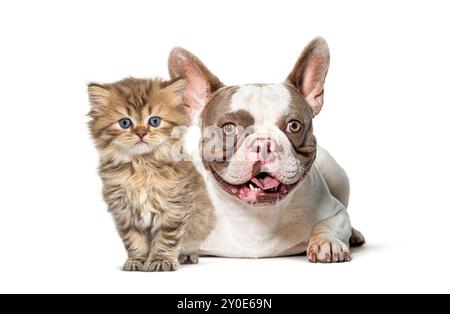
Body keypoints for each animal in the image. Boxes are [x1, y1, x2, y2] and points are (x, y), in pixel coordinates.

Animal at [89, 77, 215, 272]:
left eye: (154, 121)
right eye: (125, 123)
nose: (141, 133)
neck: (141, 166)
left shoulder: (173, 208)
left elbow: (166, 238)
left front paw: (160, 260)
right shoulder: (125, 212)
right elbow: (134, 240)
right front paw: (137, 260)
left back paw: (186, 255)